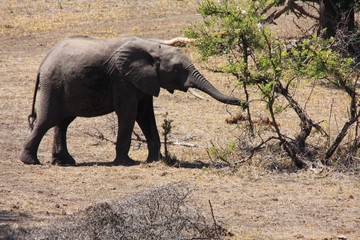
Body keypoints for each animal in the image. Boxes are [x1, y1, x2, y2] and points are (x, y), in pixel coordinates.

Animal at [19, 35, 242, 166]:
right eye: (177, 69)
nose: (242, 102)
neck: (154, 47)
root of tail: (43, 63)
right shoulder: (123, 80)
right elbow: (128, 113)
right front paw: (126, 162)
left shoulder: (144, 80)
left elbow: (145, 115)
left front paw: (154, 160)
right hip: (54, 85)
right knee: (47, 120)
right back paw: (30, 161)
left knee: (62, 122)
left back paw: (64, 162)